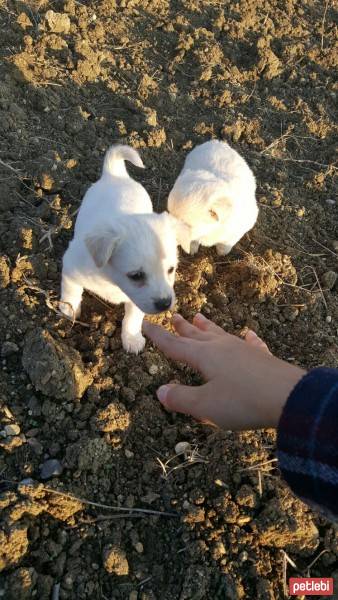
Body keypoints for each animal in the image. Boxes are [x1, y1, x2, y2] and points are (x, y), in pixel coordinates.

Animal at [60, 144, 180, 352]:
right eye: (136, 275)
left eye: (171, 270)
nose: (165, 304)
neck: (111, 280)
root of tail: (115, 174)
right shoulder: (71, 266)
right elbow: (71, 290)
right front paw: (69, 308)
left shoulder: (137, 300)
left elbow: (132, 318)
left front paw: (132, 339)